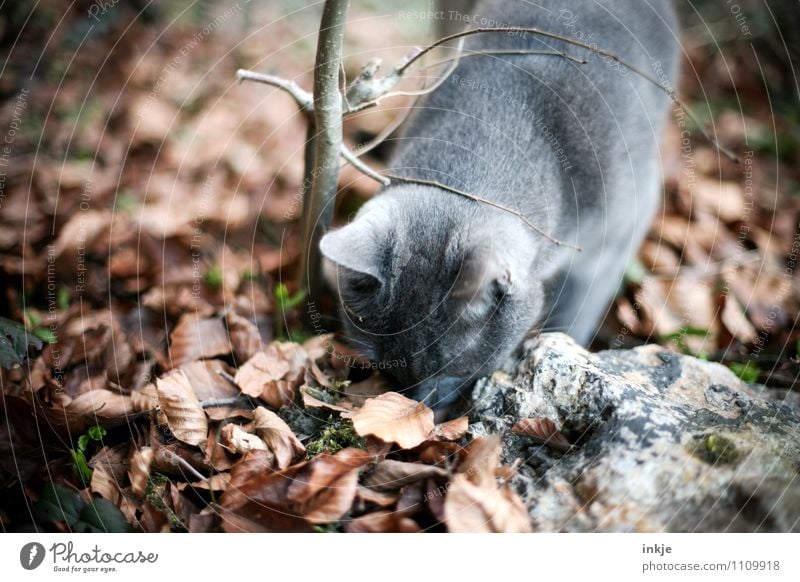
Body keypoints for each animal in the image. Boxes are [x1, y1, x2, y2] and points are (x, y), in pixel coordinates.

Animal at [322, 0, 680, 410]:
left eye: (454, 370)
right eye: (388, 367)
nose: (421, 404)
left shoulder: (619, 233)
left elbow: (578, 308)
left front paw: (563, 347)